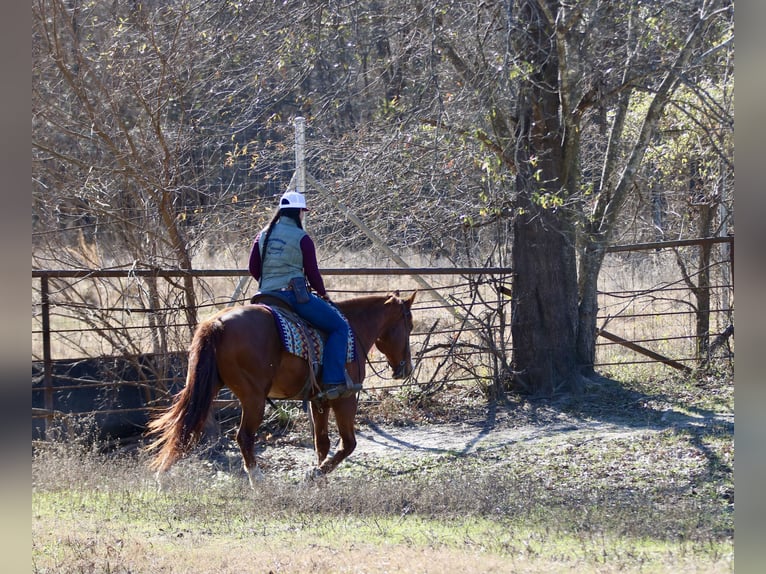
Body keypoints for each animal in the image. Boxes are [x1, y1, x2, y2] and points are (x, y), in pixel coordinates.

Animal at [145, 291, 416, 486]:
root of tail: (217, 323)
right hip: (254, 398)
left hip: (206, 388)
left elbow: (322, 443)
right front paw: (314, 475)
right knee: (244, 436)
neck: (352, 329)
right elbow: (348, 444)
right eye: (410, 326)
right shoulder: (345, 399)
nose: (406, 369)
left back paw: (162, 476)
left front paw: (320, 481)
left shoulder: (319, 401)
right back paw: (258, 482)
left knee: (185, 426)